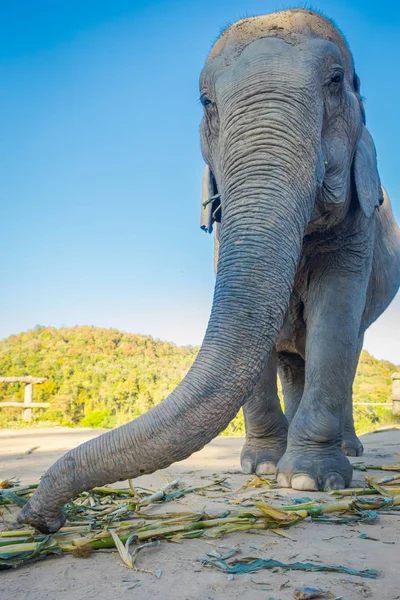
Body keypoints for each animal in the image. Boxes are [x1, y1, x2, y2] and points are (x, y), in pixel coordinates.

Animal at [18, 8, 400, 536]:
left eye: (337, 81)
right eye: (206, 102)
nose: (36, 516)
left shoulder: (358, 225)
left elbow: (336, 315)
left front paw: (308, 482)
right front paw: (262, 467)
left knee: (349, 345)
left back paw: (348, 450)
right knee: (291, 360)